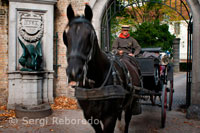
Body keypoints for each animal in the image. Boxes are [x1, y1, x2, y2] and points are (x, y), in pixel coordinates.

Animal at [63, 4, 141, 133]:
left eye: (90, 36)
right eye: (65, 36)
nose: (74, 72)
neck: (94, 84)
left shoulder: (109, 117)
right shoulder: (90, 116)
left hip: (131, 102)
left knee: (127, 120)